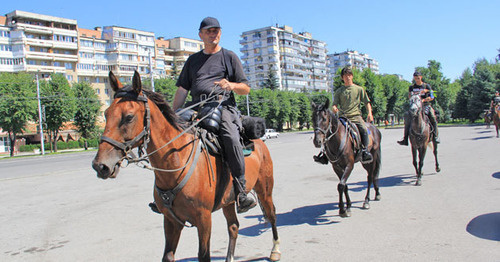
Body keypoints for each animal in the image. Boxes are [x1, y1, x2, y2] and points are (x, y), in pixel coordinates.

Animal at [93, 71, 282, 262]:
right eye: (106, 113)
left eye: (129, 117)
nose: (100, 166)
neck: (177, 162)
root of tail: (259, 141)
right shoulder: (171, 220)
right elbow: (168, 256)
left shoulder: (203, 219)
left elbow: (203, 255)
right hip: (228, 201)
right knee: (234, 226)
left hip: (264, 189)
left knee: (271, 214)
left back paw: (275, 249)